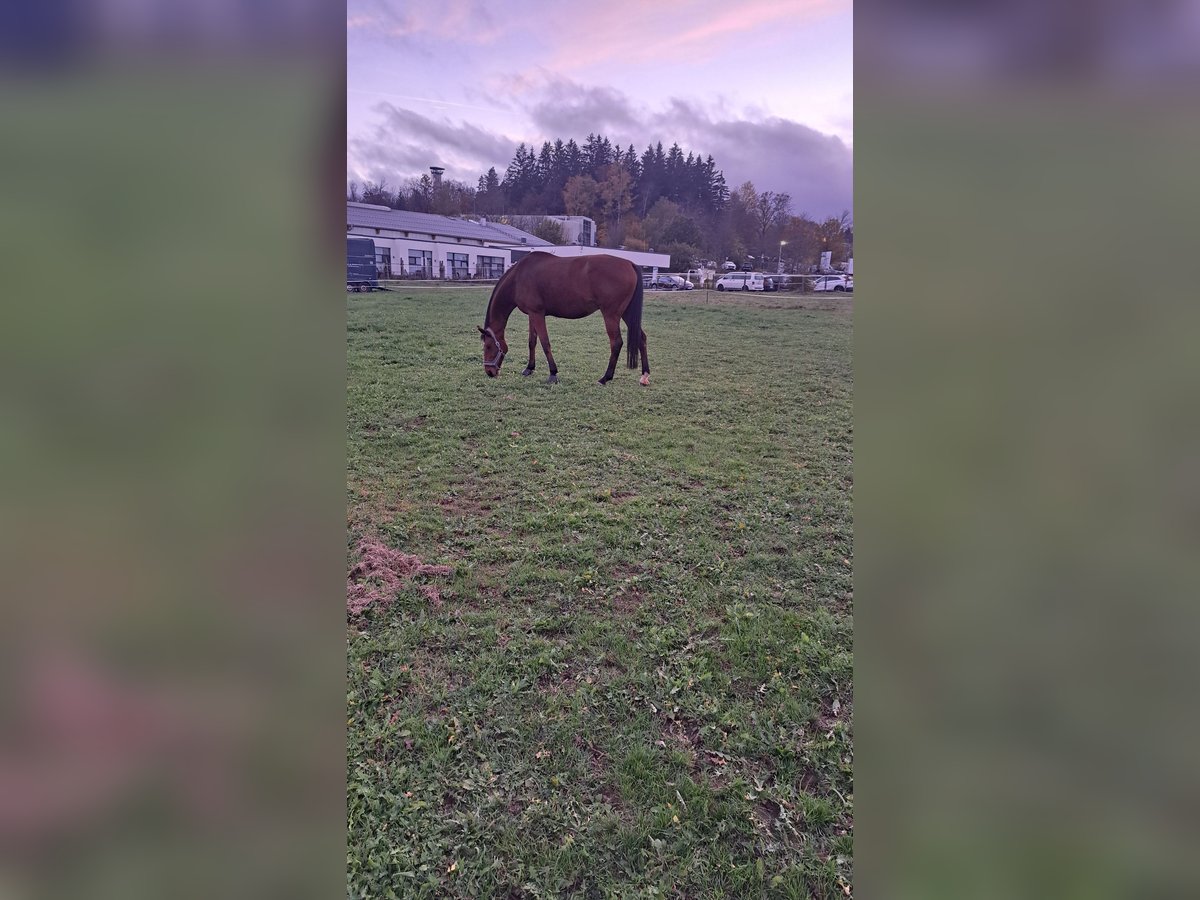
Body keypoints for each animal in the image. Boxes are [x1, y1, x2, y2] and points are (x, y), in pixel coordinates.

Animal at [477, 252, 652, 386]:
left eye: (488, 347)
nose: (489, 372)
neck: (518, 278)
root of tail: (629, 263)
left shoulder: (537, 314)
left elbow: (545, 343)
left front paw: (553, 373)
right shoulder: (532, 315)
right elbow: (532, 342)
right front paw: (529, 368)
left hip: (611, 314)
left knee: (616, 343)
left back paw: (605, 378)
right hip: (627, 313)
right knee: (641, 338)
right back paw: (644, 375)